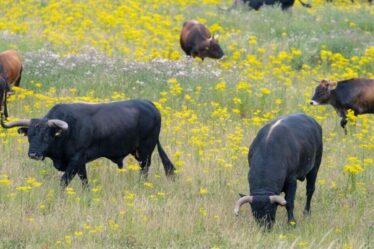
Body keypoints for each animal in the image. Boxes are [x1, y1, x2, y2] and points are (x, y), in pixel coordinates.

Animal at [0, 99, 176, 187]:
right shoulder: (80, 163)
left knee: (144, 169)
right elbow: (84, 181)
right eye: (29, 136)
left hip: (146, 150)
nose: (33, 154)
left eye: (46, 136)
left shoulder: (76, 160)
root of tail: (149, 104)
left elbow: (63, 181)